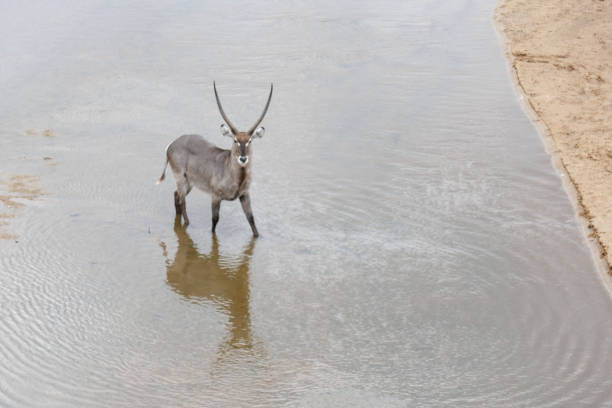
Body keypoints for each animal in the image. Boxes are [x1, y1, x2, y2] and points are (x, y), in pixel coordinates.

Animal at [158, 81, 272, 237]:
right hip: (181, 178)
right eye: (235, 140)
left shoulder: (244, 195)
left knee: (176, 196)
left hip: (189, 182)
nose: (243, 158)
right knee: (182, 200)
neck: (235, 176)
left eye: (249, 141)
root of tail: (171, 144)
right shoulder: (215, 196)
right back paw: (187, 224)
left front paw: (258, 237)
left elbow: (251, 219)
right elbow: (214, 220)